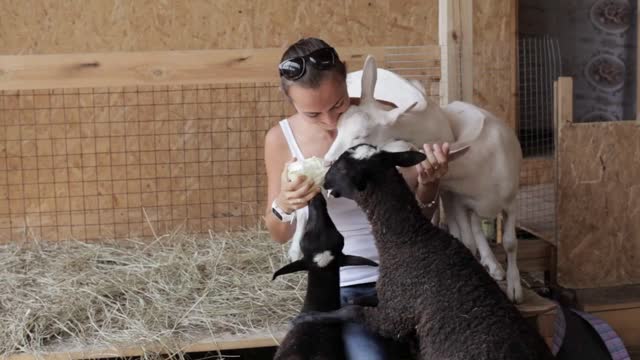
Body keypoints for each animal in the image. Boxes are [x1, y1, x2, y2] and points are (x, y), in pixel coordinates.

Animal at [322, 55, 524, 304]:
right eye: (338, 127)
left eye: (362, 135)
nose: (327, 161)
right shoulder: (455, 195)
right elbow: (466, 237)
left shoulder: (509, 200)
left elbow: (510, 242)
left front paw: (514, 288)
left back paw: (494, 266)